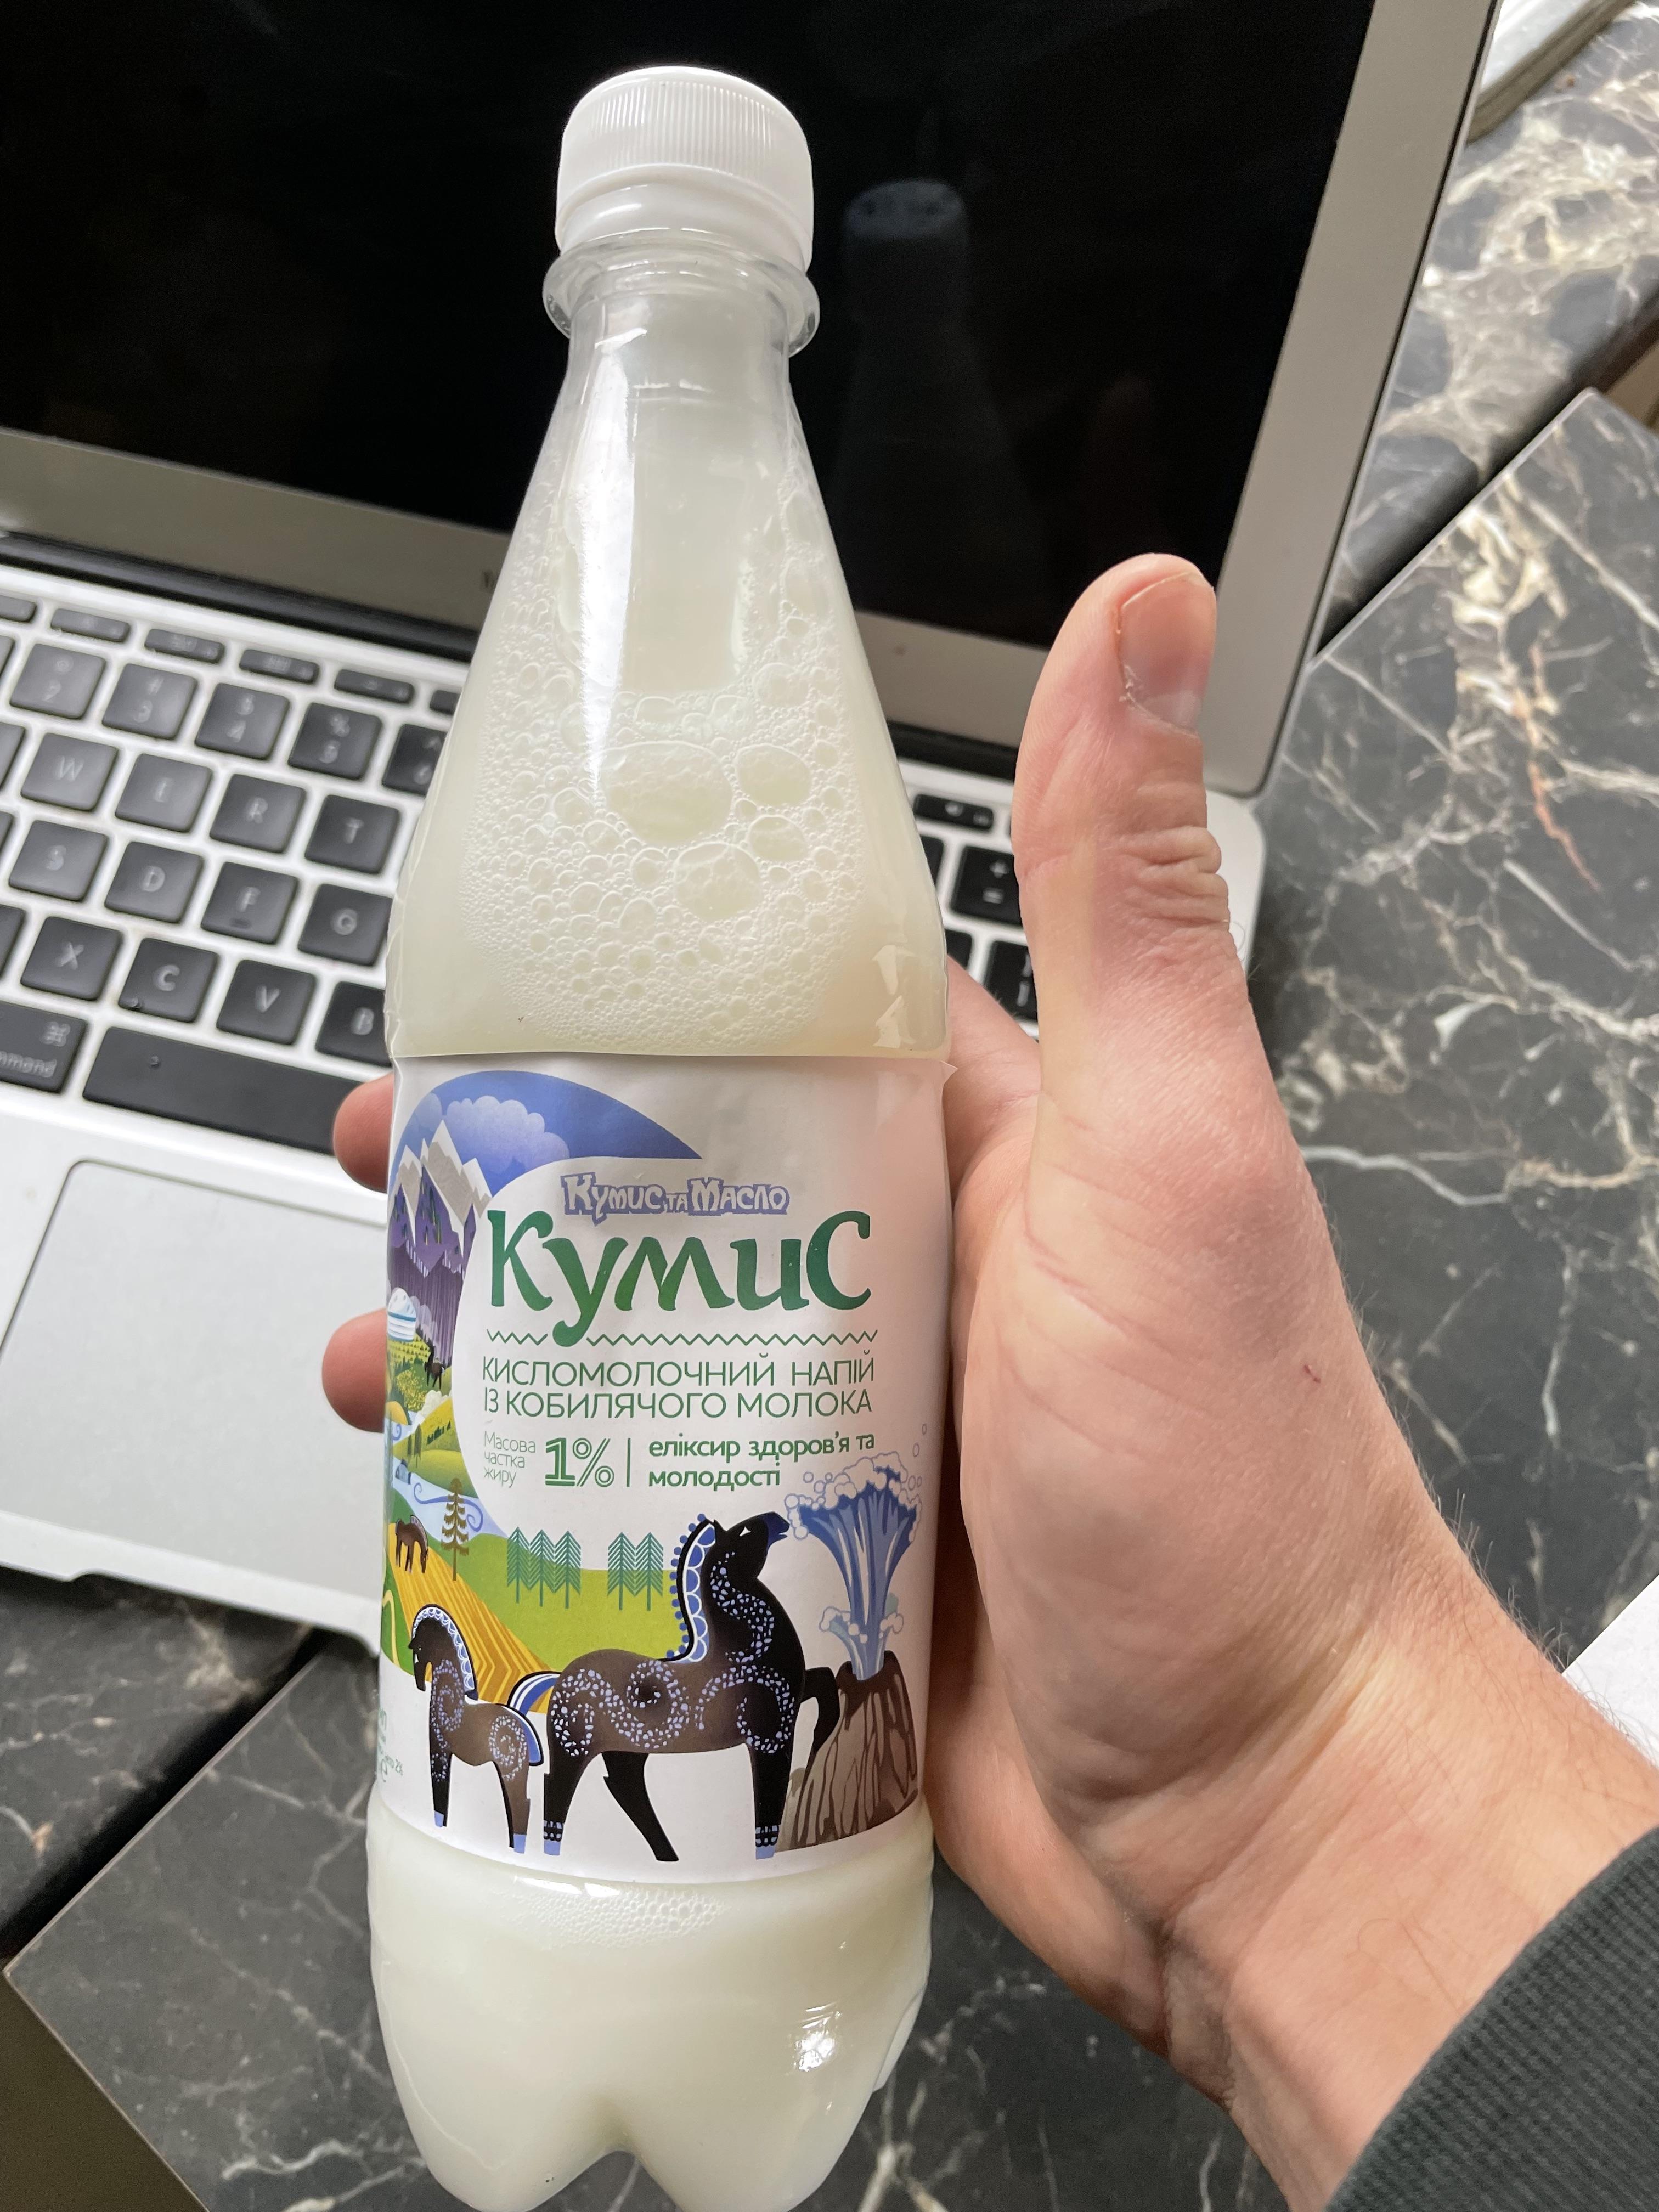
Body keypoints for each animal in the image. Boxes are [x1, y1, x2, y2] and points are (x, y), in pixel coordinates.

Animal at [408, 1606, 543, 1853]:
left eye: (421, 1647)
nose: (420, 1684)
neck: (451, 1703)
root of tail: (522, 1722)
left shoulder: (439, 1749)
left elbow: (440, 1789)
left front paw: (439, 1824)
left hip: (512, 1769)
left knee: (522, 1806)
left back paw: (517, 1848)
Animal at [509, 1512, 840, 1864]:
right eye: (746, 1530)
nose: (778, 1520)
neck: (745, 1646)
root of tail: (559, 1677)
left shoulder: (790, 1700)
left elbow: (825, 1679)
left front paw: (824, 1733)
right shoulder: (770, 1734)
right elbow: (768, 1804)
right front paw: (764, 1852)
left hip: (626, 1751)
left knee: (626, 1789)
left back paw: (667, 1856)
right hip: (573, 1747)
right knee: (558, 1788)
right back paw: (554, 1850)